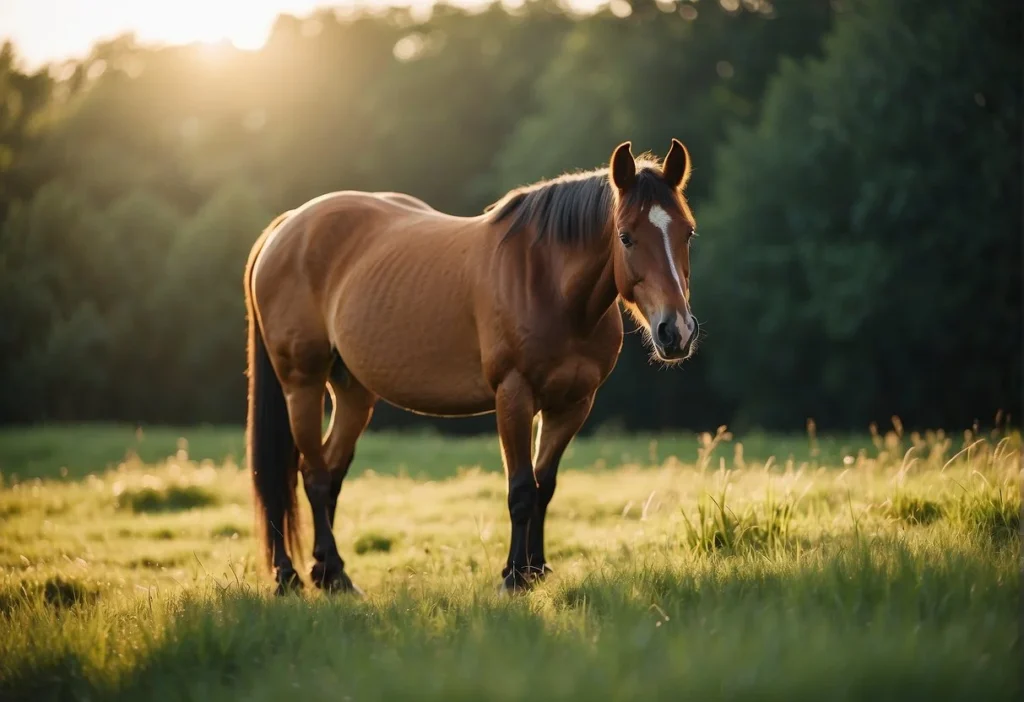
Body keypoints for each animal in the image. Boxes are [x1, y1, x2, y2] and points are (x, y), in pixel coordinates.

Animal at [243, 140, 700, 597]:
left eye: (687, 232)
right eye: (626, 236)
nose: (675, 331)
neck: (547, 281)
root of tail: (287, 226)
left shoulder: (572, 404)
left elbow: (544, 486)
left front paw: (536, 569)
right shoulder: (514, 395)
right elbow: (521, 489)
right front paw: (514, 576)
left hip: (353, 391)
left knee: (330, 473)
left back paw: (330, 574)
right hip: (302, 383)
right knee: (307, 476)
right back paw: (292, 575)